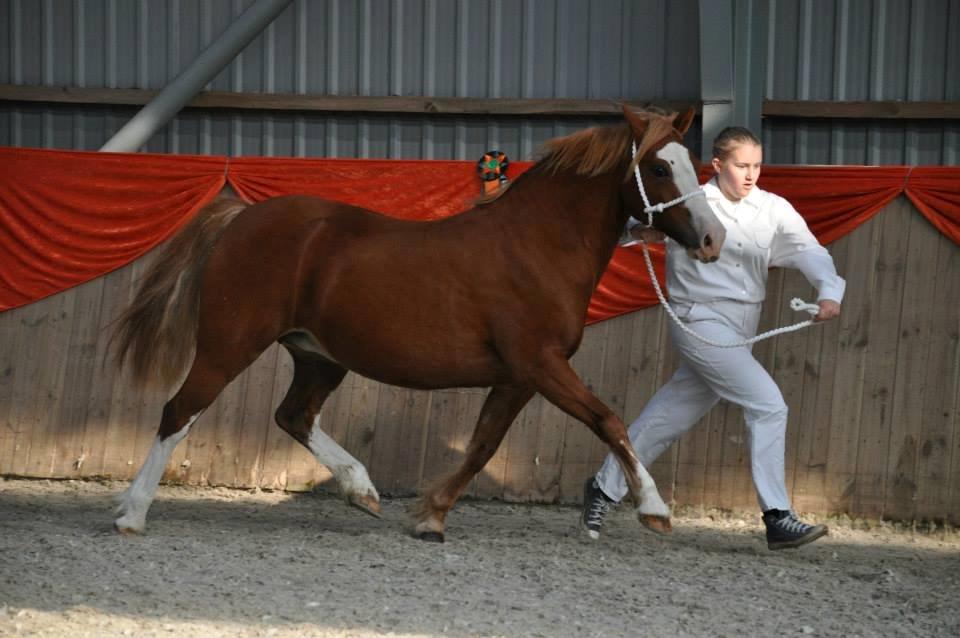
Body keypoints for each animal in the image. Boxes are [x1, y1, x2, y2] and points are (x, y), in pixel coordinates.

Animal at [112, 107, 724, 544]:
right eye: (660, 167)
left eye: (693, 164)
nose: (713, 239)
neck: (537, 246)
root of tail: (241, 215)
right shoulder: (541, 364)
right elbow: (608, 421)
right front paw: (655, 510)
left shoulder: (518, 377)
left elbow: (483, 445)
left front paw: (430, 516)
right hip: (229, 344)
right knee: (179, 412)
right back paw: (131, 514)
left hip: (318, 355)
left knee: (294, 416)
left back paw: (362, 490)